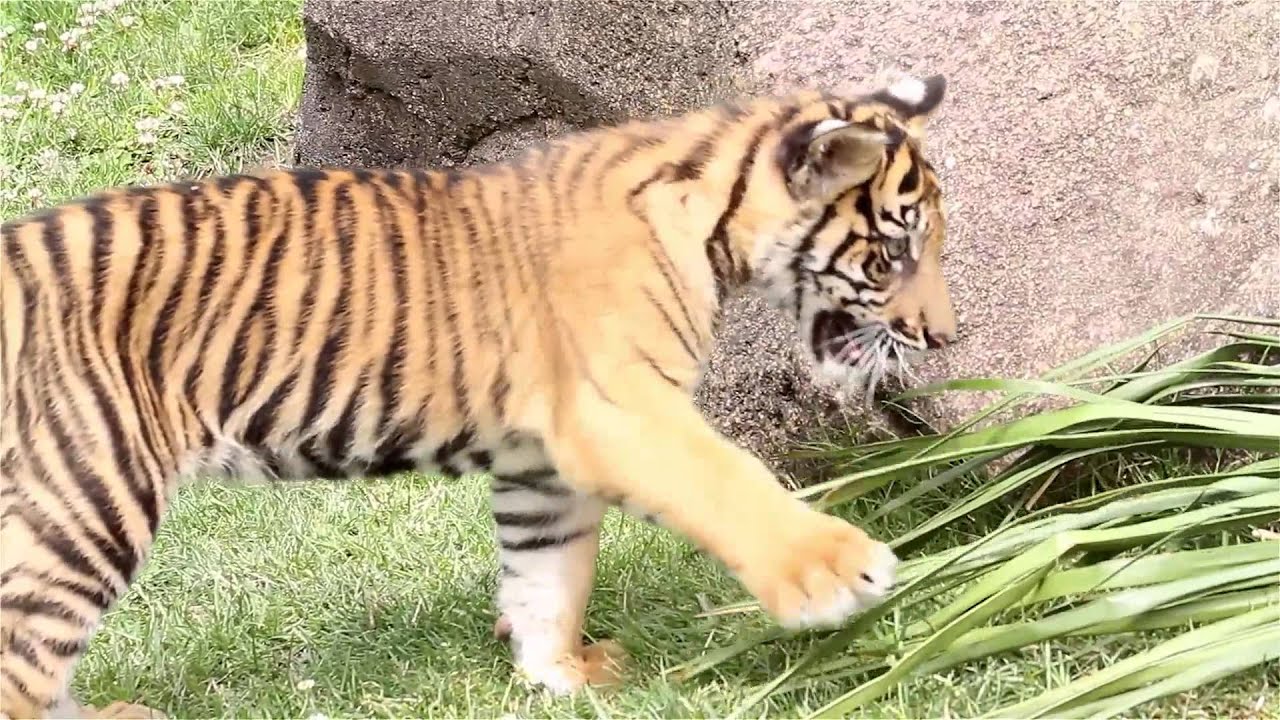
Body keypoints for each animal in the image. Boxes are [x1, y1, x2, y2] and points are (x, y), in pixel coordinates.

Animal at [0, 70, 958, 718]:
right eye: (895, 252)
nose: (944, 336)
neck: (710, 219)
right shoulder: (625, 412)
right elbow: (733, 486)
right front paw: (839, 573)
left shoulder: (543, 461)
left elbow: (548, 573)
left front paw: (561, 676)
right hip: (84, 497)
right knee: (25, 660)